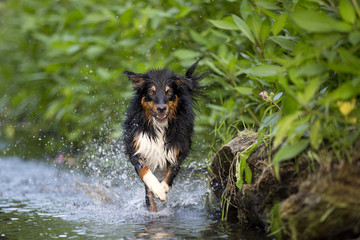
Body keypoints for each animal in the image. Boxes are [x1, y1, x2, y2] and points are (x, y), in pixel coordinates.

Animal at [123, 60, 205, 212]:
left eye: (169, 91)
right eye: (151, 91)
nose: (161, 108)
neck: (159, 127)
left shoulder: (178, 147)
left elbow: (172, 171)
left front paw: (163, 188)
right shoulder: (136, 146)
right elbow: (144, 171)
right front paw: (156, 190)